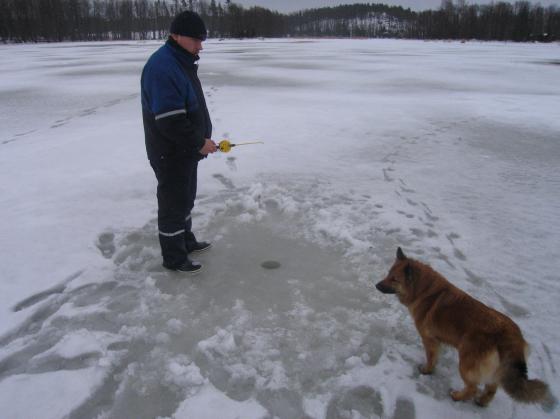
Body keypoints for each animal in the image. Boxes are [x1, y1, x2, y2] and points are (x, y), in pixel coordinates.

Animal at [374, 248, 548, 408]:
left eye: (394, 279)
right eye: (388, 274)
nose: (376, 285)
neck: (424, 291)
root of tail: (511, 336)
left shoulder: (429, 339)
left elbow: (431, 357)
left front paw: (427, 370)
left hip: (465, 362)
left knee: (473, 388)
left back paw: (457, 396)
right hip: (494, 370)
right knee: (491, 389)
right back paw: (481, 402)